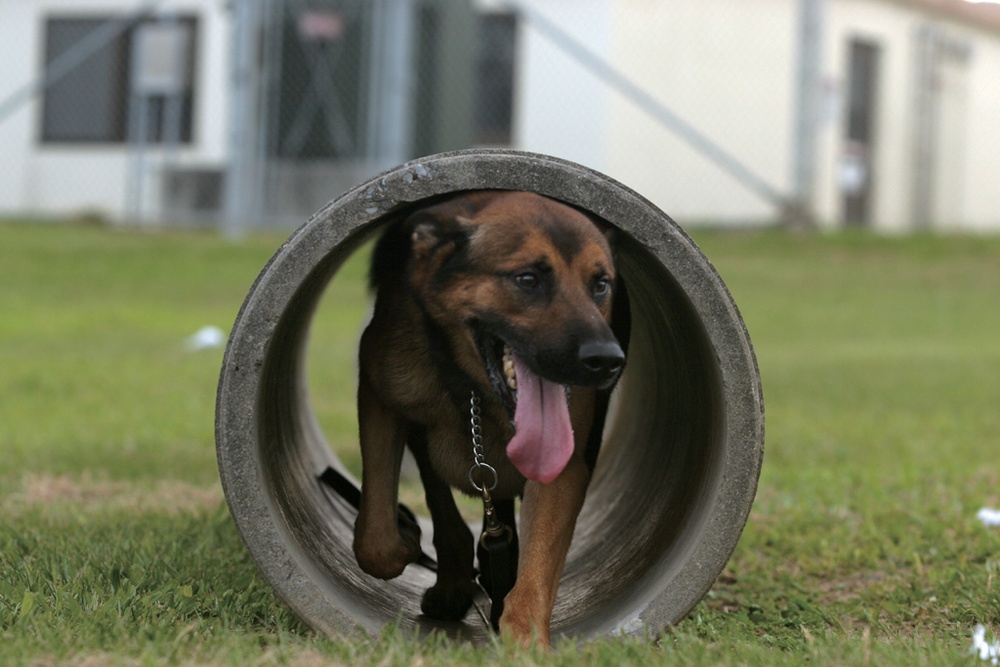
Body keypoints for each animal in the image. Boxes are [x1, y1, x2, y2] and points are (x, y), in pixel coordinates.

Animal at [356, 189, 628, 648]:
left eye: (600, 284)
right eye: (528, 280)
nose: (608, 361)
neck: (475, 392)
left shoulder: (563, 467)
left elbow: (535, 573)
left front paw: (525, 642)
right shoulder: (379, 398)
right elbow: (377, 540)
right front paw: (407, 541)